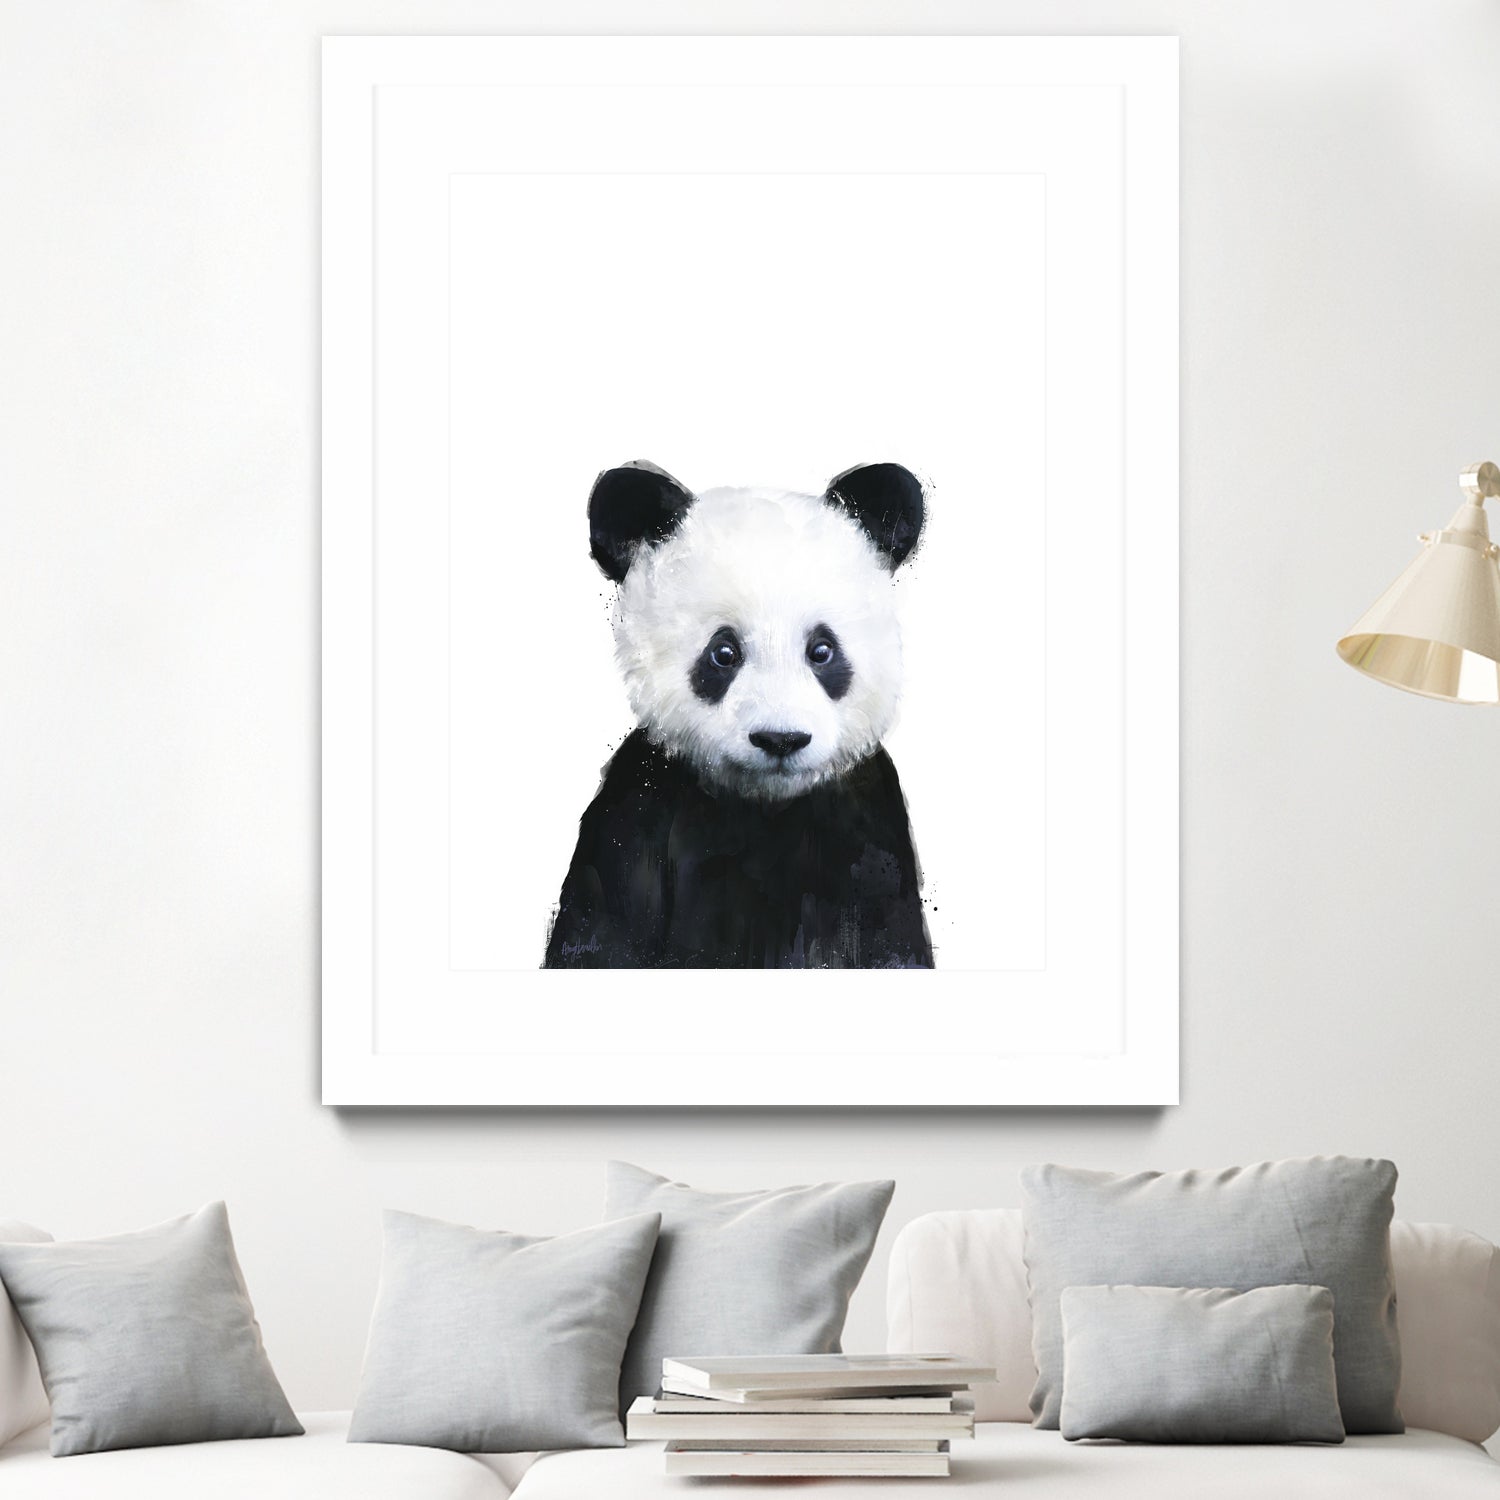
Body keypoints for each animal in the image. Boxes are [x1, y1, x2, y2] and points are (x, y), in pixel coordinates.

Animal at [544, 460, 933, 970]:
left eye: (822, 650)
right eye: (723, 653)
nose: (780, 739)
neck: (764, 805)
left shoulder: (868, 827)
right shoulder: (637, 811)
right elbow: (602, 931)